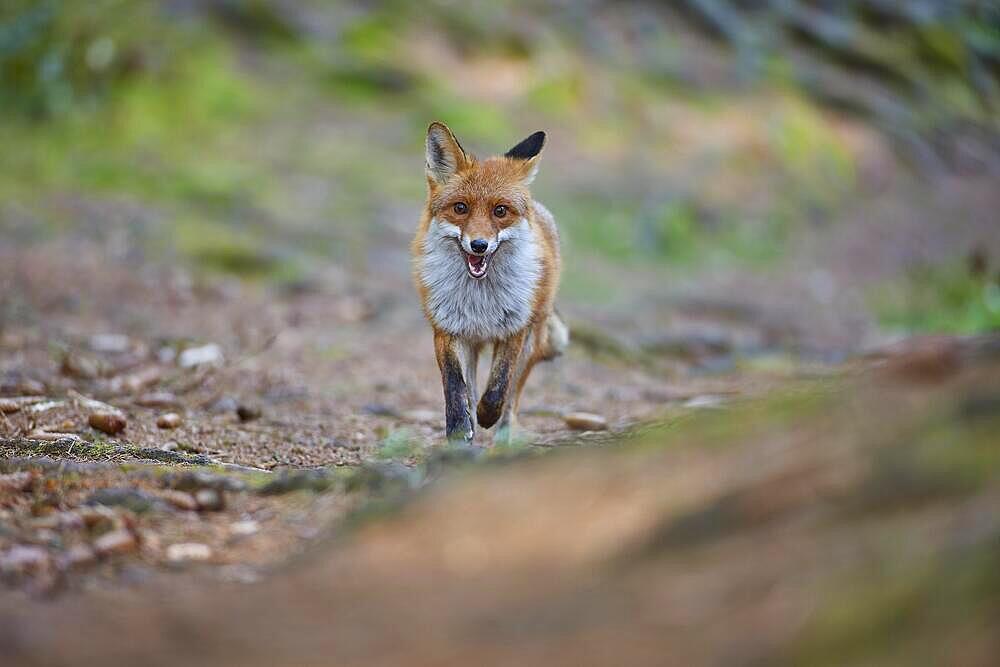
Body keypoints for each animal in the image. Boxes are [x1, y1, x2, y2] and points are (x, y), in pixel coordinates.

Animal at [410, 121, 568, 444]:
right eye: (460, 208)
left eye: (500, 211)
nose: (479, 245)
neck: (479, 299)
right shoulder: (447, 329)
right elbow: (455, 387)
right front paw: (460, 428)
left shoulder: (514, 330)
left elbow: (497, 389)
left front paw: (485, 416)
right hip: (472, 344)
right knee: (471, 388)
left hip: (531, 341)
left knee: (512, 400)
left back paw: (501, 439)